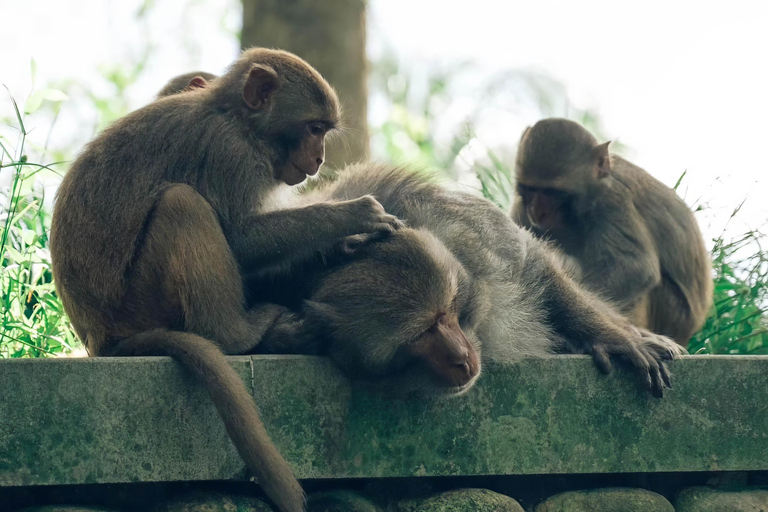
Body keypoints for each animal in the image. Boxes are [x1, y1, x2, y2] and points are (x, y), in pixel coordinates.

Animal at [48, 48, 402, 512]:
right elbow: (238, 237)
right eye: (314, 128)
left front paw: (345, 245)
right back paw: (234, 335)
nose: (320, 159)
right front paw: (353, 216)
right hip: (140, 304)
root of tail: (102, 341)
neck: (239, 122)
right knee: (183, 203)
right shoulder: (229, 154)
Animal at [255, 164, 688, 400]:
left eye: (446, 314)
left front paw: (612, 338)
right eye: (419, 337)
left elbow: (537, 268)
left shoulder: (473, 230)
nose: (461, 359)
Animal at [510, 118, 712, 346]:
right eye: (531, 189)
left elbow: (636, 267)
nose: (537, 211)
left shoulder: (613, 200)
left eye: (554, 193)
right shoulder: (521, 205)